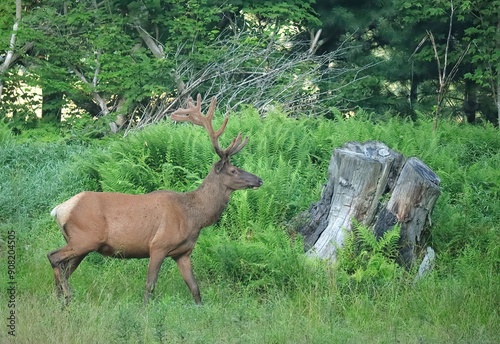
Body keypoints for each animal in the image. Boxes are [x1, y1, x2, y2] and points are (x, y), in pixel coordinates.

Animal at [48, 94, 264, 304]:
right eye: (233, 170)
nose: (259, 179)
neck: (194, 216)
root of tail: (59, 209)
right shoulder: (158, 245)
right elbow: (150, 285)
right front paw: (145, 309)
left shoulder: (183, 253)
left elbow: (195, 288)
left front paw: (200, 308)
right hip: (85, 238)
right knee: (53, 257)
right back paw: (67, 296)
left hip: (81, 243)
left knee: (64, 267)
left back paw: (61, 301)